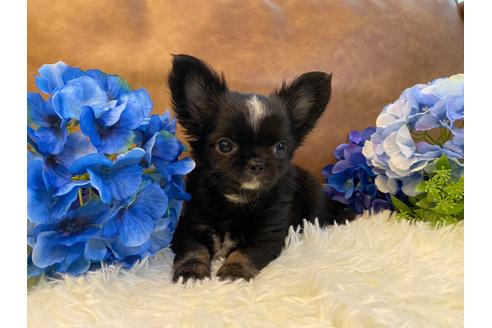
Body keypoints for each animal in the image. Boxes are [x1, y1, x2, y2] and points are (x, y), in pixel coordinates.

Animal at [167, 53, 352, 282]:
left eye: (280, 147)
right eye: (224, 146)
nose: (257, 164)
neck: (237, 199)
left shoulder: (267, 236)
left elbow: (244, 252)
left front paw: (234, 271)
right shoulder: (189, 227)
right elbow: (194, 249)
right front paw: (191, 271)